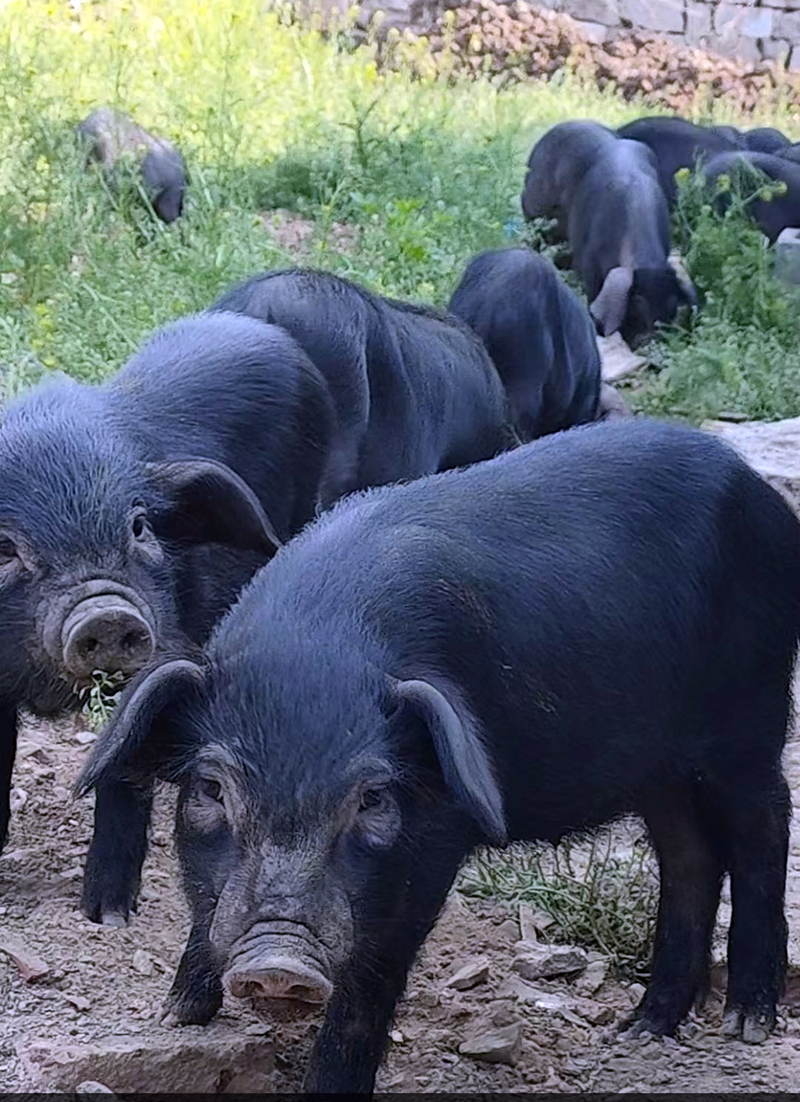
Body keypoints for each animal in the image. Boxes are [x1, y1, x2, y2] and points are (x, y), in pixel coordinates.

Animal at [79, 417, 798, 1094]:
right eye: (210, 789)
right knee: (690, 857)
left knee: (765, 828)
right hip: (661, 766)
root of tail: (765, 499)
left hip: (751, 714)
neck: (312, 655)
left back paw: (745, 1023)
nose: (278, 963)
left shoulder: (436, 835)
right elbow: (206, 909)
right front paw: (175, 1015)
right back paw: (644, 1028)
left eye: (372, 799)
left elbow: (371, 983)